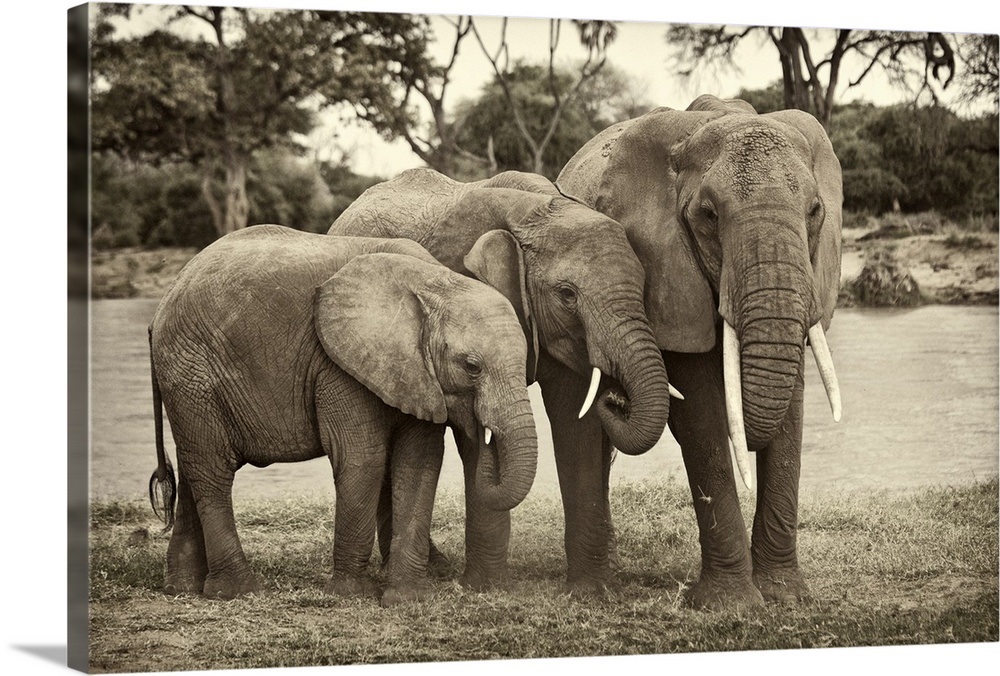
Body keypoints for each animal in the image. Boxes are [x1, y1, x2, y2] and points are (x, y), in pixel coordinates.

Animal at [146, 225, 537, 606]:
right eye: (472, 367)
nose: (484, 432)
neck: (434, 281)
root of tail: (162, 303)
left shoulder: (417, 376)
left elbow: (420, 462)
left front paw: (407, 598)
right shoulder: (338, 364)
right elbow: (363, 458)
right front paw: (351, 594)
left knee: (194, 466)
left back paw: (182, 588)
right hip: (191, 371)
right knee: (213, 469)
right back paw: (238, 591)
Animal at [329, 169, 678, 593]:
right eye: (567, 295)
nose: (615, 398)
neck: (536, 212)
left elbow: (572, 421)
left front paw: (589, 590)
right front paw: (486, 586)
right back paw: (434, 568)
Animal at [557, 94, 843, 608]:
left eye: (814, 210)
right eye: (708, 216)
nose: (616, 397)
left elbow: (791, 413)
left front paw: (786, 597)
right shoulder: (667, 272)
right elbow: (700, 415)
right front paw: (732, 604)